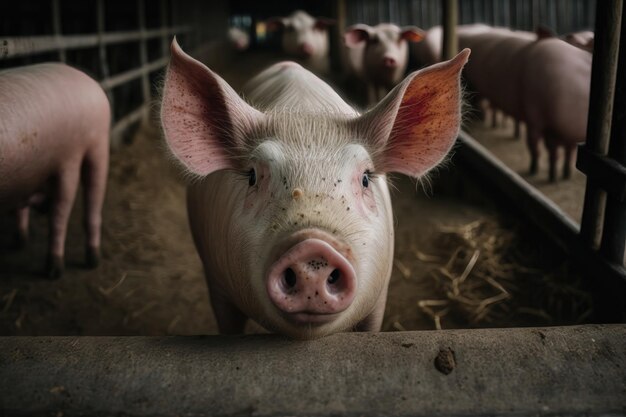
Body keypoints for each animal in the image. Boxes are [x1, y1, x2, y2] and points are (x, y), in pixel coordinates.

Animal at [0, 63, 109, 278]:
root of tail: (91, 81)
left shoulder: (68, 160)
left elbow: (58, 218)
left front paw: (54, 273)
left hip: (94, 145)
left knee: (87, 206)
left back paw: (92, 261)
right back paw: (20, 242)